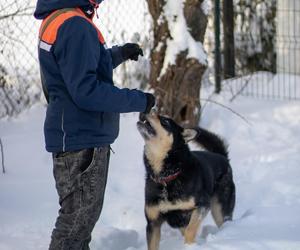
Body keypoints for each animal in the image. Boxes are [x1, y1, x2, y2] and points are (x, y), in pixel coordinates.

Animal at [137, 112, 236, 250]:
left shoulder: (202, 205)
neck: (167, 177)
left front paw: (189, 245)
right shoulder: (153, 222)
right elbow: (152, 245)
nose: (145, 112)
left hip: (219, 210)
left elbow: (190, 230)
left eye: (165, 121)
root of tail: (222, 157)